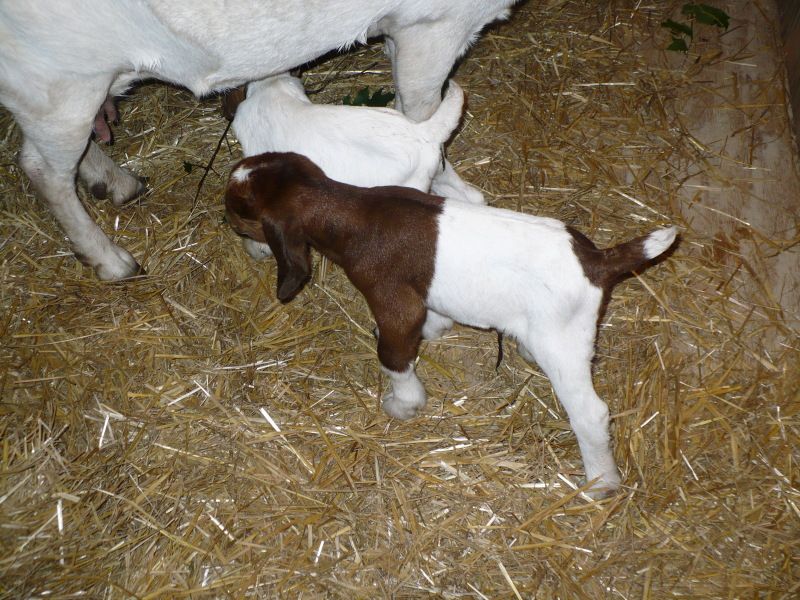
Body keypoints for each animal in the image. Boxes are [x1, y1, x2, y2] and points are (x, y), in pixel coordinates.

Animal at [224, 152, 678, 497]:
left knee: (591, 413)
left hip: (561, 343)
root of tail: (597, 261)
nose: (242, 243)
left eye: (235, 216)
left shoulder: (391, 298)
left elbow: (393, 354)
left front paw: (404, 404)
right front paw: (436, 330)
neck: (352, 211)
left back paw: (601, 482)